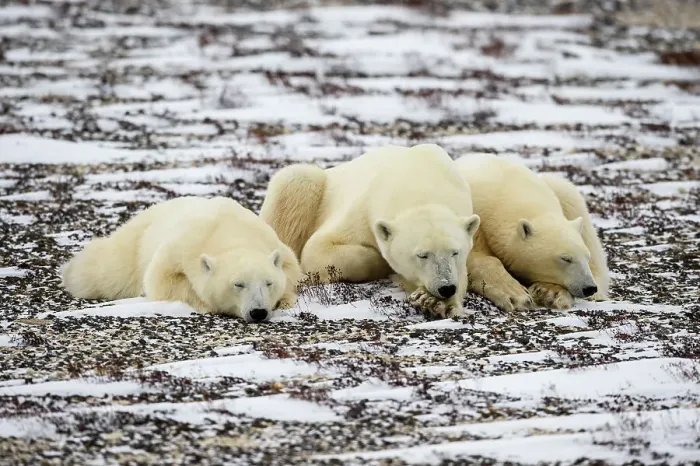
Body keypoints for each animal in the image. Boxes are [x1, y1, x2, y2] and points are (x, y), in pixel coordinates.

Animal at [61, 196, 302, 323]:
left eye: (269, 283)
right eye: (238, 284)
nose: (258, 312)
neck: (230, 231)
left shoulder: (272, 241)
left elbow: (292, 270)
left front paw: (285, 299)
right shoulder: (184, 245)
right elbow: (162, 279)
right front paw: (204, 302)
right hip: (136, 243)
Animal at [260, 143, 480, 318]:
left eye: (455, 252)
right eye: (422, 255)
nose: (446, 288)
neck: (420, 184)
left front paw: (437, 303)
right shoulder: (362, 208)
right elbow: (319, 249)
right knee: (295, 180)